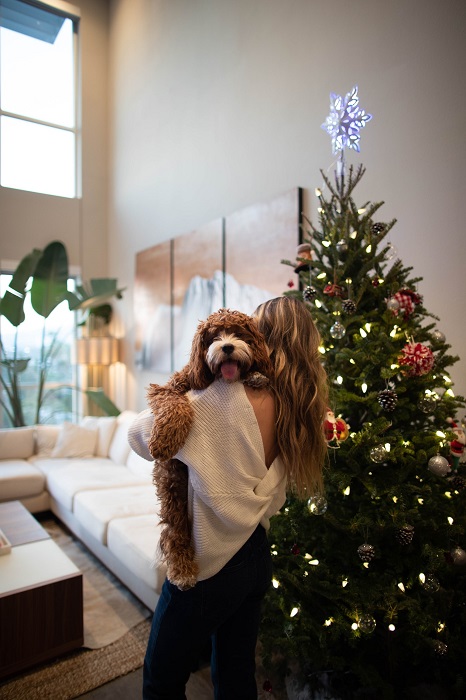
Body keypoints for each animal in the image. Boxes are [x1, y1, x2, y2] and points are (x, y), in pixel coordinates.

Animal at [147, 308, 274, 588]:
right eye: (213, 337)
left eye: (239, 334)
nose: (226, 347)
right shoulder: (167, 387)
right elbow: (174, 403)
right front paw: (165, 437)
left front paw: (256, 375)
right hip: (172, 486)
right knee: (175, 533)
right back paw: (182, 570)